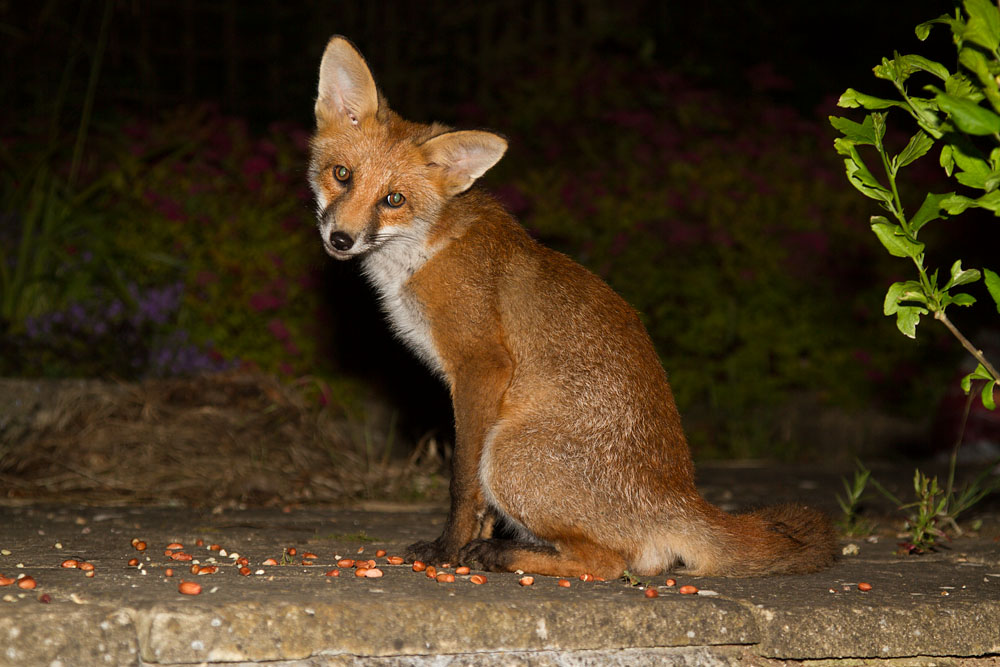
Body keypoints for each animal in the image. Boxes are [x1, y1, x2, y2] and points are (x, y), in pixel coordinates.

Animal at [308, 36, 838, 579]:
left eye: (393, 199)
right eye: (341, 175)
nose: (341, 239)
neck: (421, 250)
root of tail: (683, 496)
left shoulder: (481, 367)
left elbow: (462, 483)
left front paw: (449, 550)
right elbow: (479, 506)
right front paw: (467, 541)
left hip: (508, 453)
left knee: (608, 562)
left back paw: (504, 554)